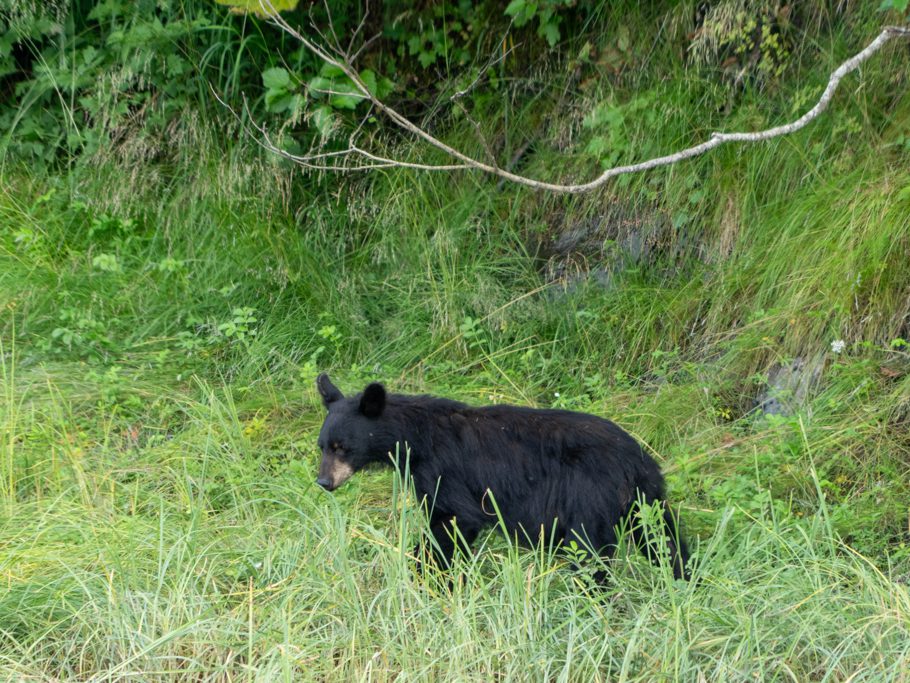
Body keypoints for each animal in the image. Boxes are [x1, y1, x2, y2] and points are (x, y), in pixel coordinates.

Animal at [316, 374, 692, 584]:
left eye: (342, 447)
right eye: (322, 446)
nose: (324, 482)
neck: (416, 439)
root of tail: (637, 460)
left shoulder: (443, 472)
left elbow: (453, 520)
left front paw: (428, 577)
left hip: (590, 496)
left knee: (589, 551)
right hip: (645, 499)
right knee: (664, 539)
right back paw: (684, 579)